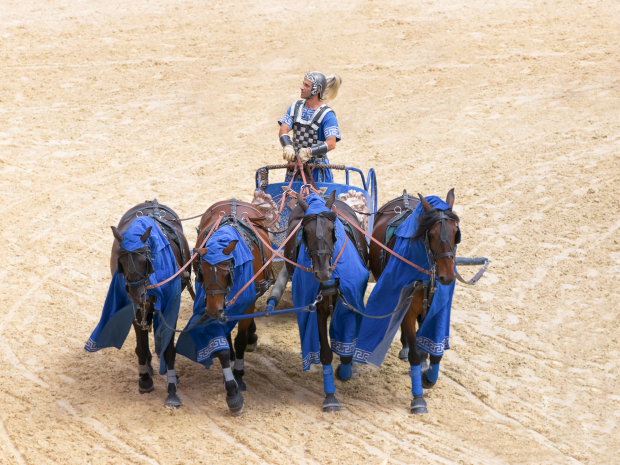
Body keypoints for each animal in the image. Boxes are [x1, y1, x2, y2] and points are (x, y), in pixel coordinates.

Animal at [85, 199, 191, 406]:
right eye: (121, 260)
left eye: (145, 260)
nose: (136, 294)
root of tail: (150, 202)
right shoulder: (135, 308)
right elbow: (141, 346)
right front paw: (144, 380)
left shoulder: (170, 303)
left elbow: (169, 348)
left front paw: (172, 390)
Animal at [174, 198, 272, 416]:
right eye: (201, 272)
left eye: (227, 273)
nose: (213, 310)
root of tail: (234, 200)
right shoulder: (211, 307)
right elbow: (222, 347)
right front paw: (232, 392)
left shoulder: (247, 304)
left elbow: (240, 340)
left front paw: (239, 375)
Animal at [284, 190, 370, 412]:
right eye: (306, 231)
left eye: (332, 230)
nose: (322, 272)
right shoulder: (317, 308)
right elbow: (325, 353)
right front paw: (330, 396)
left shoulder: (348, 301)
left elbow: (347, 344)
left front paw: (346, 371)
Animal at [358, 188, 460, 414]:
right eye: (431, 235)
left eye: (456, 233)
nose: (447, 277)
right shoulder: (407, 307)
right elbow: (414, 351)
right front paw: (418, 399)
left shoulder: (435, 308)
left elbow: (435, 351)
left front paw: (428, 375)